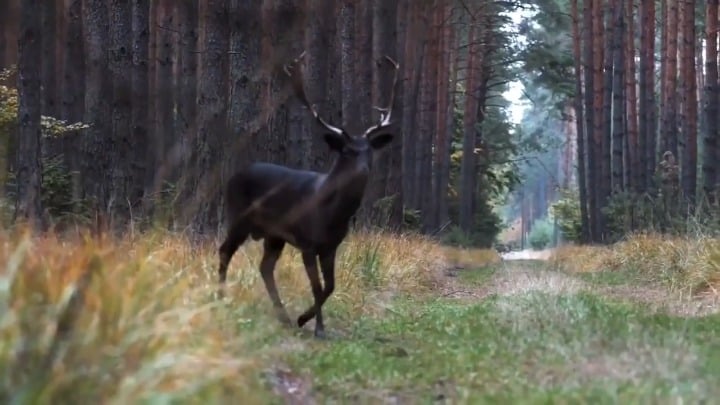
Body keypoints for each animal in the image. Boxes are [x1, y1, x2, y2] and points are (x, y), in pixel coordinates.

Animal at [217, 51, 399, 339]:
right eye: (346, 150)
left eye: (369, 150)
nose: (363, 170)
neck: (331, 214)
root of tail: (233, 176)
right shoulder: (307, 242)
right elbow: (317, 286)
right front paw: (317, 327)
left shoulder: (330, 246)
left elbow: (330, 286)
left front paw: (305, 319)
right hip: (238, 217)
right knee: (225, 251)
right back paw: (220, 298)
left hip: (274, 235)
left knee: (265, 267)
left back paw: (283, 316)